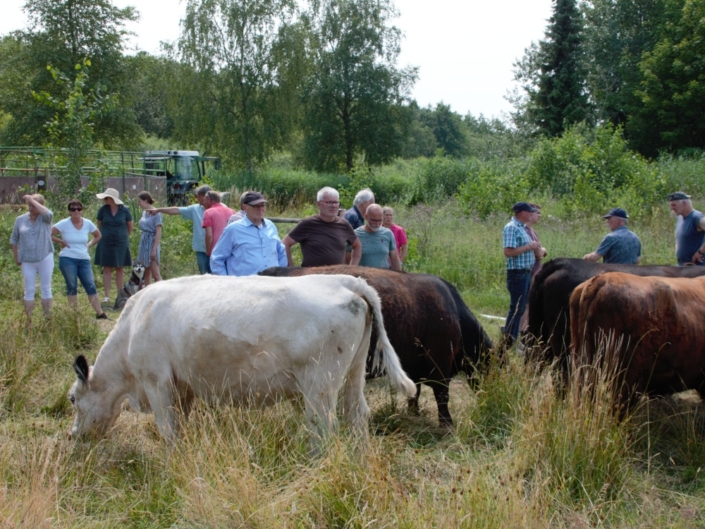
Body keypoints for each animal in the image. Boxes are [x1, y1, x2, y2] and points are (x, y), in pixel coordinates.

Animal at [69, 272, 416, 442]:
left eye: (72, 399)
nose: (73, 436)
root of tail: (346, 280)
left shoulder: (156, 383)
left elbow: (168, 430)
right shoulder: (182, 387)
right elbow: (181, 426)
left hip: (319, 384)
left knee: (323, 426)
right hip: (353, 376)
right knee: (357, 417)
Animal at [256, 264, 492, 424]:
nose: (492, 391)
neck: (455, 313)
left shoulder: (415, 369)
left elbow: (414, 394)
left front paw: (414, 414)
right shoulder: (440, 365)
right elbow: (442, 397)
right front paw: (446, 424)